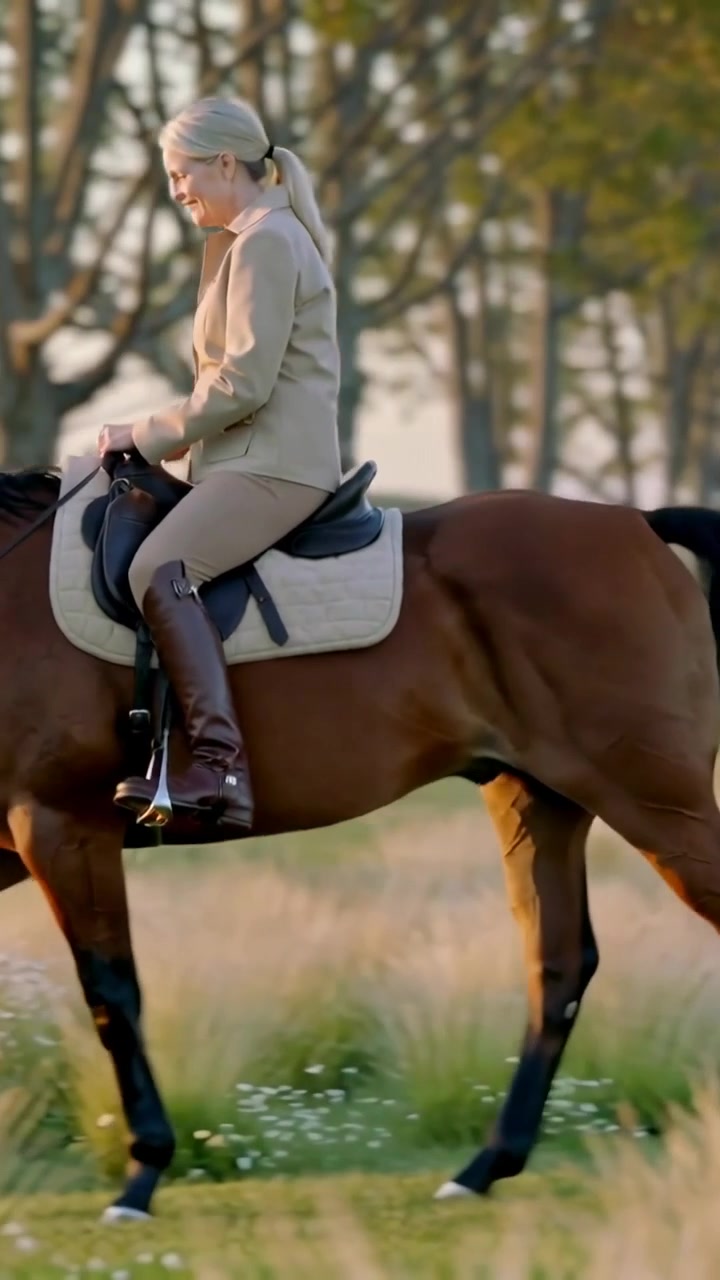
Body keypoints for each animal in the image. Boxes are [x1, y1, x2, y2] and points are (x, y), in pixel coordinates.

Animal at [0, 459, 719, 1223]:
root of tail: (636, 523)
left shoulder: (61, 824)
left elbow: (111, 992)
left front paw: (143, 1173)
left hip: (655, 802)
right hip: (538, 801)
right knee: (556, 967)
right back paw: (484, 1168)